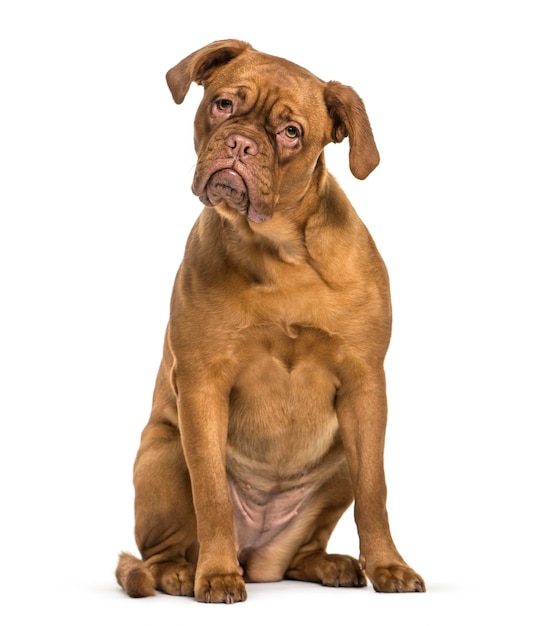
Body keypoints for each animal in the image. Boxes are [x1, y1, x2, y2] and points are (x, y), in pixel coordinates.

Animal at [117, 37, 426, 600]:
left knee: (304, 548)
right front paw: (215, 574)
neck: (278, 252)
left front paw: (388, 565)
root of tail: (258, 556)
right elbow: (212, 496)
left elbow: (375, 492)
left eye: (290, 133)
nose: (240, 144)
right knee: (158, 553)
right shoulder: (201, 387)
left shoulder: (365, 387)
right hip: (165, 453)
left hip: (339, 464)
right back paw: (183, 572)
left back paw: (329, 564)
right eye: (223, 104)